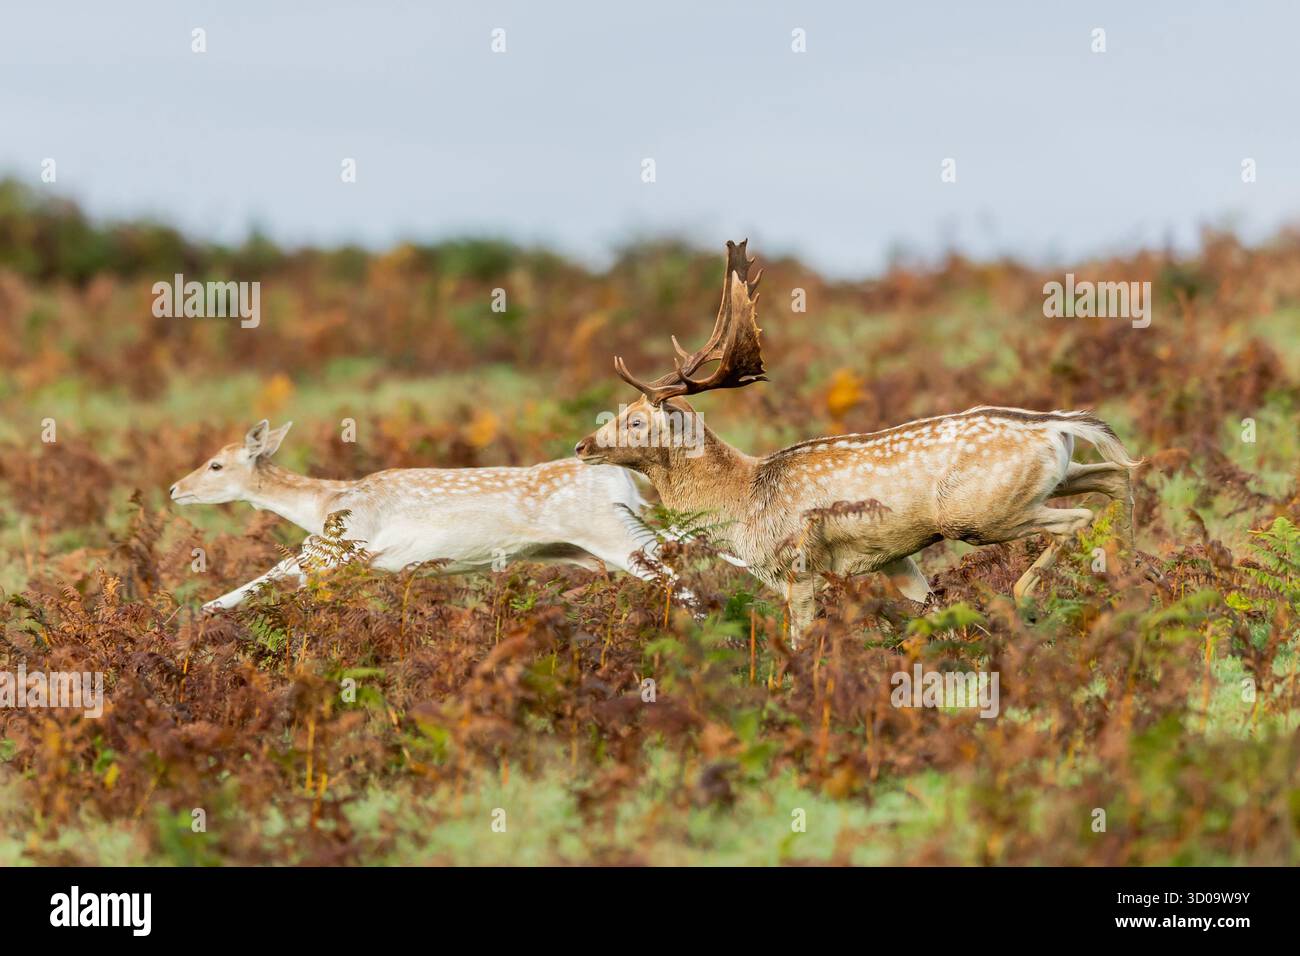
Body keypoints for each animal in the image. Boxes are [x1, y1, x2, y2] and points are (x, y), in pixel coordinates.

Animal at [170, 421, 684, 611]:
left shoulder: (346, 547)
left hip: (611, 530)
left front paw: (207, 608)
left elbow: (282, 568)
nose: (175, 489)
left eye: (216, 465)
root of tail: (625, 478)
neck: (322, 505)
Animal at [573, 240, 1139, 646]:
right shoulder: (890, 557)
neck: (742, 503)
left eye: (637, 421)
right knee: (1116, 474)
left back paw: (1026, 596)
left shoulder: (798, 565)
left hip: (978, 513)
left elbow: (800, 641)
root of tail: (1054, 424)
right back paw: (1127, 567)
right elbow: (929, 612)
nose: (582, 445)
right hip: (1044, 479)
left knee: (1077, 515)